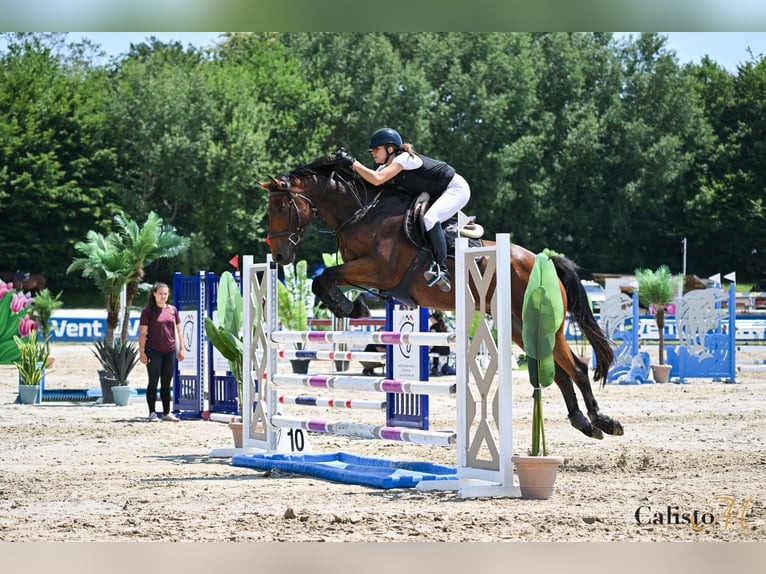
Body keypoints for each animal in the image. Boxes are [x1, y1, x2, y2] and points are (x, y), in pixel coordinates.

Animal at [262, 155, 623, 440]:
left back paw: (602, 421)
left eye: (280, 206)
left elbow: (324, 277)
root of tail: (542, 260)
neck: (361, 212)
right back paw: (582, 422)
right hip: (518, 327)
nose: (278, 256)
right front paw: (353, 305)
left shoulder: (378, 269)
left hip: (546, 325)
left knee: (577, 367)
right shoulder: (363, 271)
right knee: (560, 371)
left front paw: (348, 305)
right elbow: (324, 281)